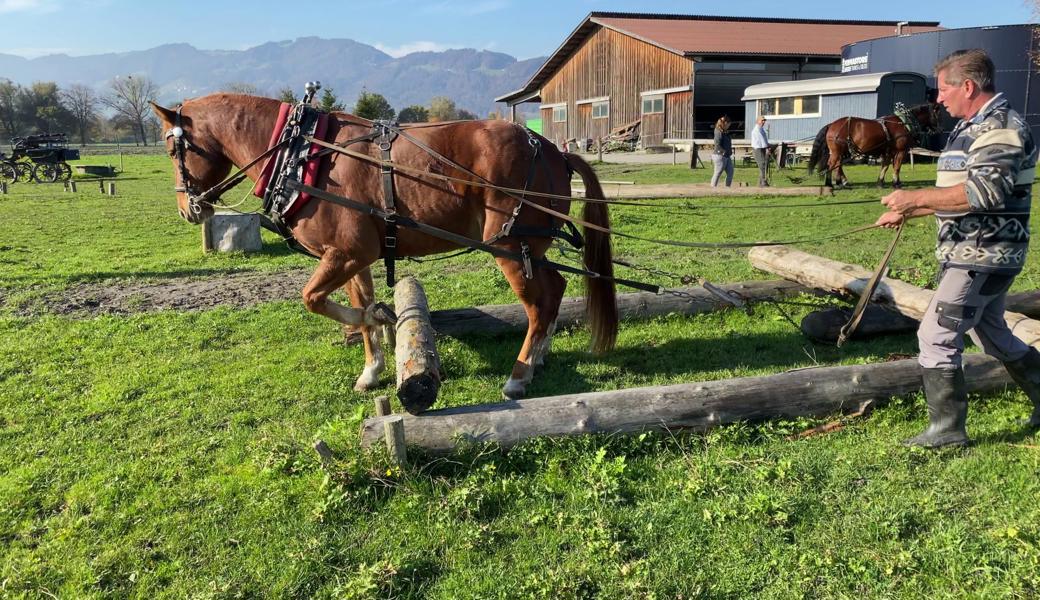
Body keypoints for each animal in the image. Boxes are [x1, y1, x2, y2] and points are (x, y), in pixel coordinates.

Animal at [150, 93, 611, 399]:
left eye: (173, 148)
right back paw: (541, 356)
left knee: (537, 305)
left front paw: (377, 318)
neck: (304, 154)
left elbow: (312, 298)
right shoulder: (353, 257)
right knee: (554, 291)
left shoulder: (347, 253)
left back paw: (519, 375)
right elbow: (356, 300)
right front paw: (372, 364)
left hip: (512, 247)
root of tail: (552, 150)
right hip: (532, 249)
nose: (186, 209)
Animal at [807, 102, 948, 187]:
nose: (941, 129)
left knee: (837, 165)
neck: (904, 122)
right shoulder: (901, 150)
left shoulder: (888, 151)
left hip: (842, 150)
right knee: (832, 164)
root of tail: (831, 124)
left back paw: (840, 181)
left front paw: (880, 182)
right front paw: (896, 183)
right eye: (938, 115)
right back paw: (830, 183)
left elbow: (885, 166)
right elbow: (897, 167)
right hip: (838, 150)